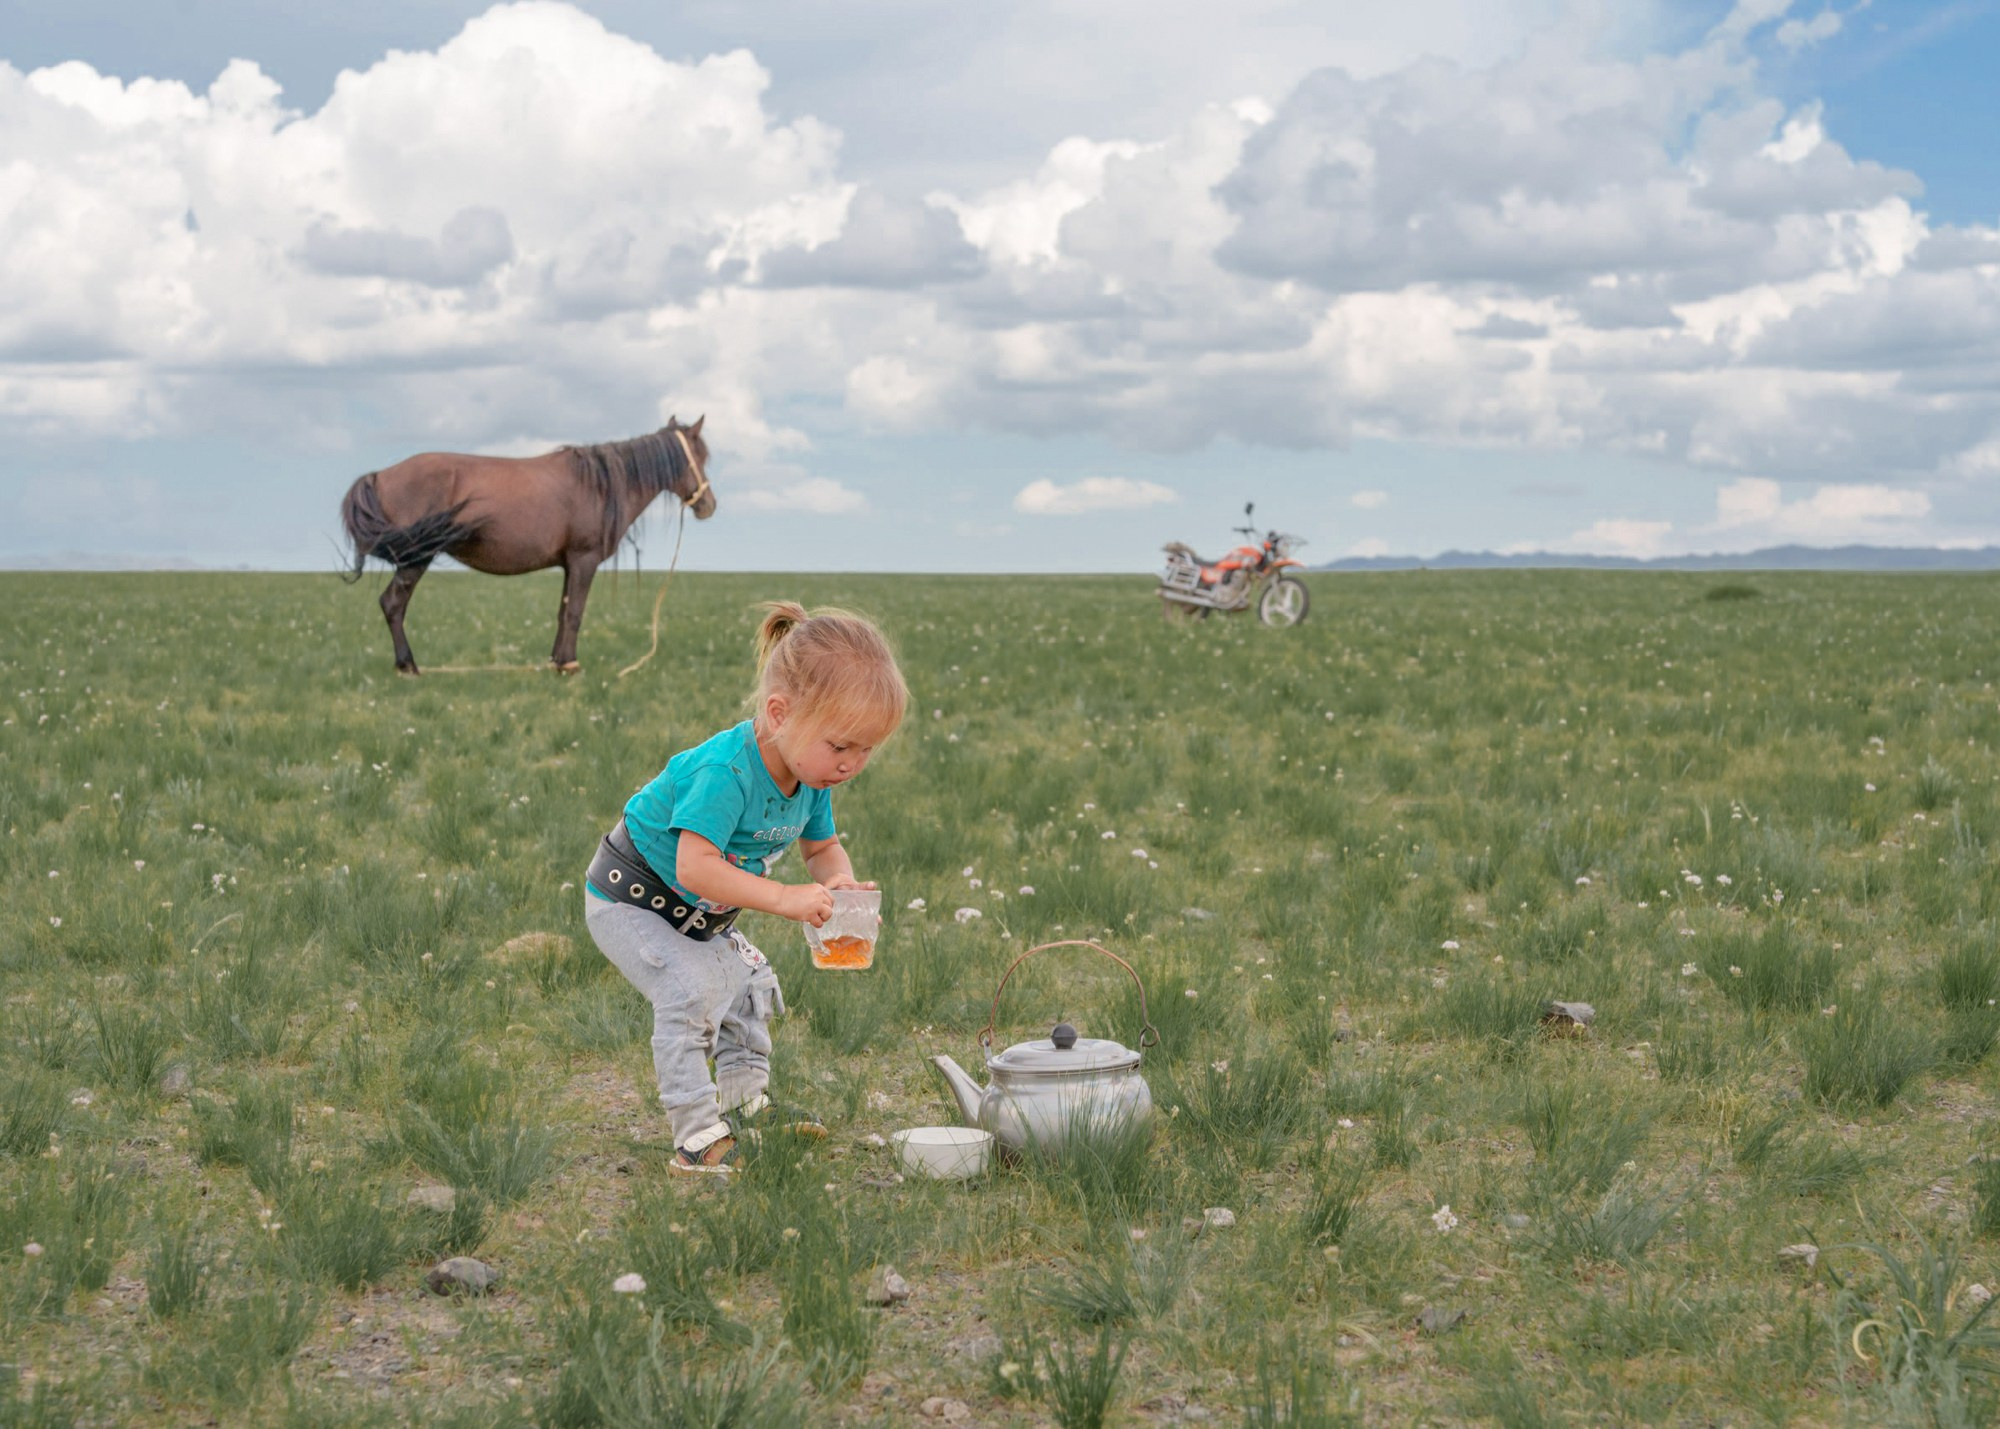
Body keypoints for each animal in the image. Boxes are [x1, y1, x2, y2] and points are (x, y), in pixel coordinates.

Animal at [340, 416, 715, 675]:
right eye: (700, 457)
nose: (708, 506)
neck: (600, 485)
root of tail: (380, 475)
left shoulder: (569, 563)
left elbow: (563, 611)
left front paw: (557, 661)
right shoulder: (584, 560)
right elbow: (575, 613)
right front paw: (570, 666)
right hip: (416, 558)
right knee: (393, 604)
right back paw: (408, 666)